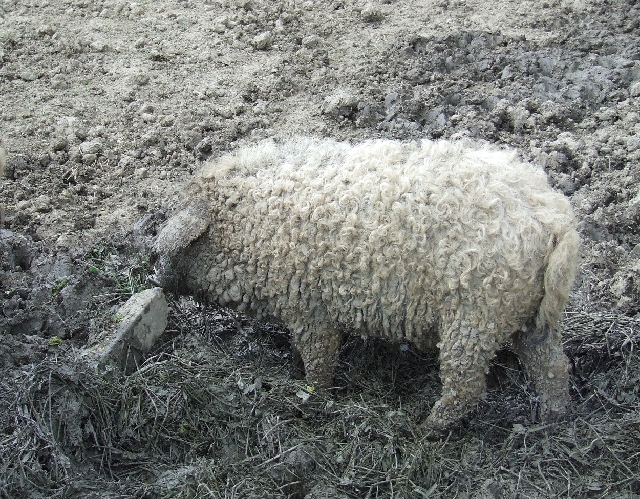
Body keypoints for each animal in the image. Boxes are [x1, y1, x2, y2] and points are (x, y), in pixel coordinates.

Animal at [152, 136, 580, 432]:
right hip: (528, 316)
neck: (253, 225)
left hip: (475, 316)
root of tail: (557, 222)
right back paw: (551, 422)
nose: (153, 275)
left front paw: (311, 398)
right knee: (555, 365)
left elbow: (319, 361)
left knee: (466, 386)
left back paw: (425, 429)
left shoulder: (311, 308)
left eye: (180, 245)